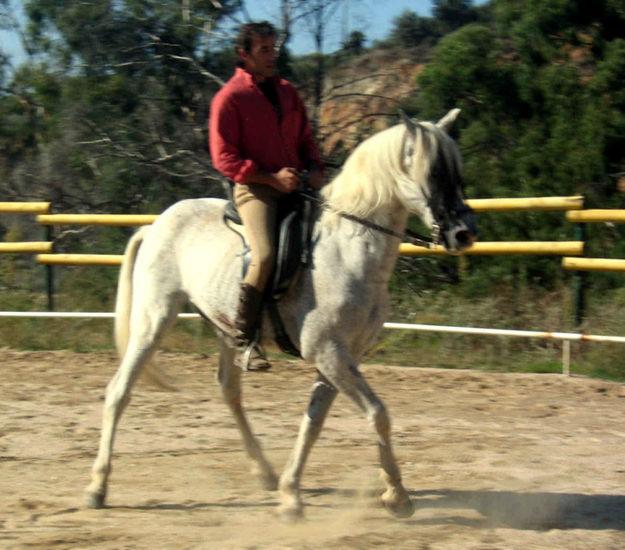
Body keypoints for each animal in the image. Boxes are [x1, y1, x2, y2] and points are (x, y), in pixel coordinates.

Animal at [83, 109, 472, 520]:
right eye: (433, 173)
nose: (464, 233)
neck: (347, 253)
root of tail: (157, 224)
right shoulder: (329, 353)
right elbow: (377, 413)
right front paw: (396, 496)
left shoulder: (340, 357)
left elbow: (314, 422)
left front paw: (292, 493)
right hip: (153, 319)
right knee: (120, 391)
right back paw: (97, 488)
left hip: (226, 328)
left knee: (229, 390)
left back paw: (266, 473)